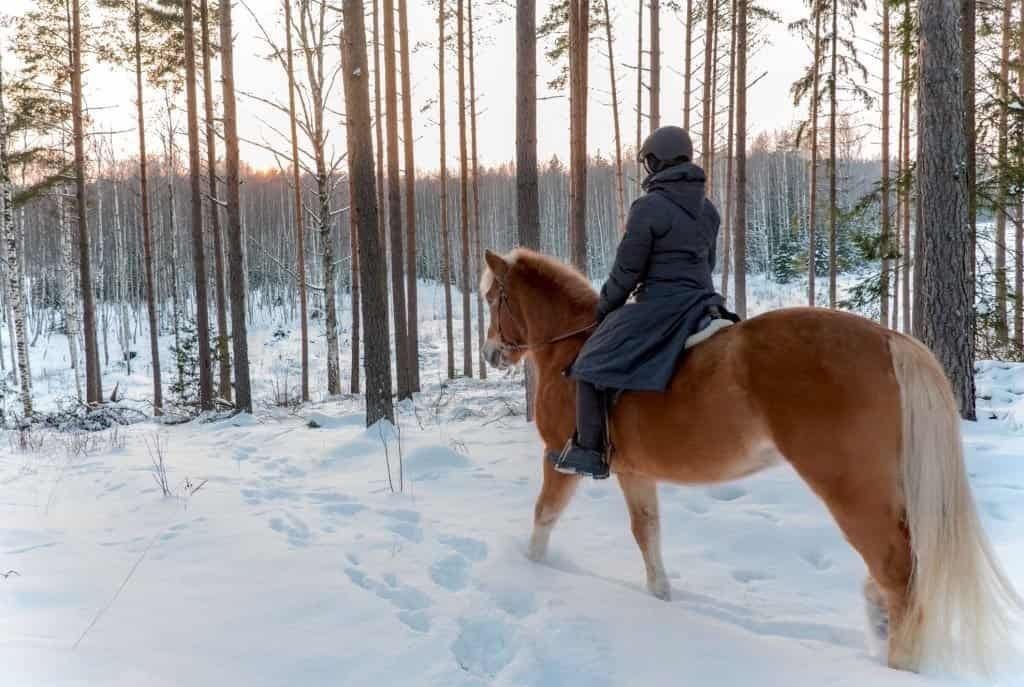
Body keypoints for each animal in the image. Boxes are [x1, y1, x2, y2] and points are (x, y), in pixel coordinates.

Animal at [479, 247, 1022, 676]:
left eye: (491, 298)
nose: (490, 353)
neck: (571, 348)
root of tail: (888, 339)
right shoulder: (635, 473)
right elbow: (647, 533)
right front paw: (661, 596)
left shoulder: (559, 458)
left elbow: (545, 516)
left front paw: (531, 568)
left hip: (851, 489)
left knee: (898, 571)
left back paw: (896, 659)